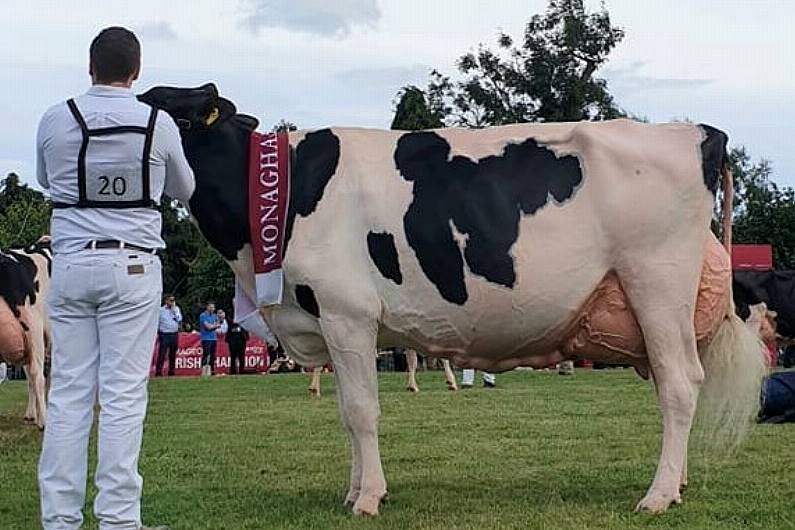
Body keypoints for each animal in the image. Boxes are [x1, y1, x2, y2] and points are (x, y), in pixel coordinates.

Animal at [140, 84, 768, 512]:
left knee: (680, 384)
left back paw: (658, 495)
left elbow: (361, 411)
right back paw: (677, 482)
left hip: (655, 282)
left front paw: (367, 498)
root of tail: (695, 131)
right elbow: (346, 413)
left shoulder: (347, 314)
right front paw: (354, 490)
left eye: (174, 113)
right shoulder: (332, 323)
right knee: (671, 383)